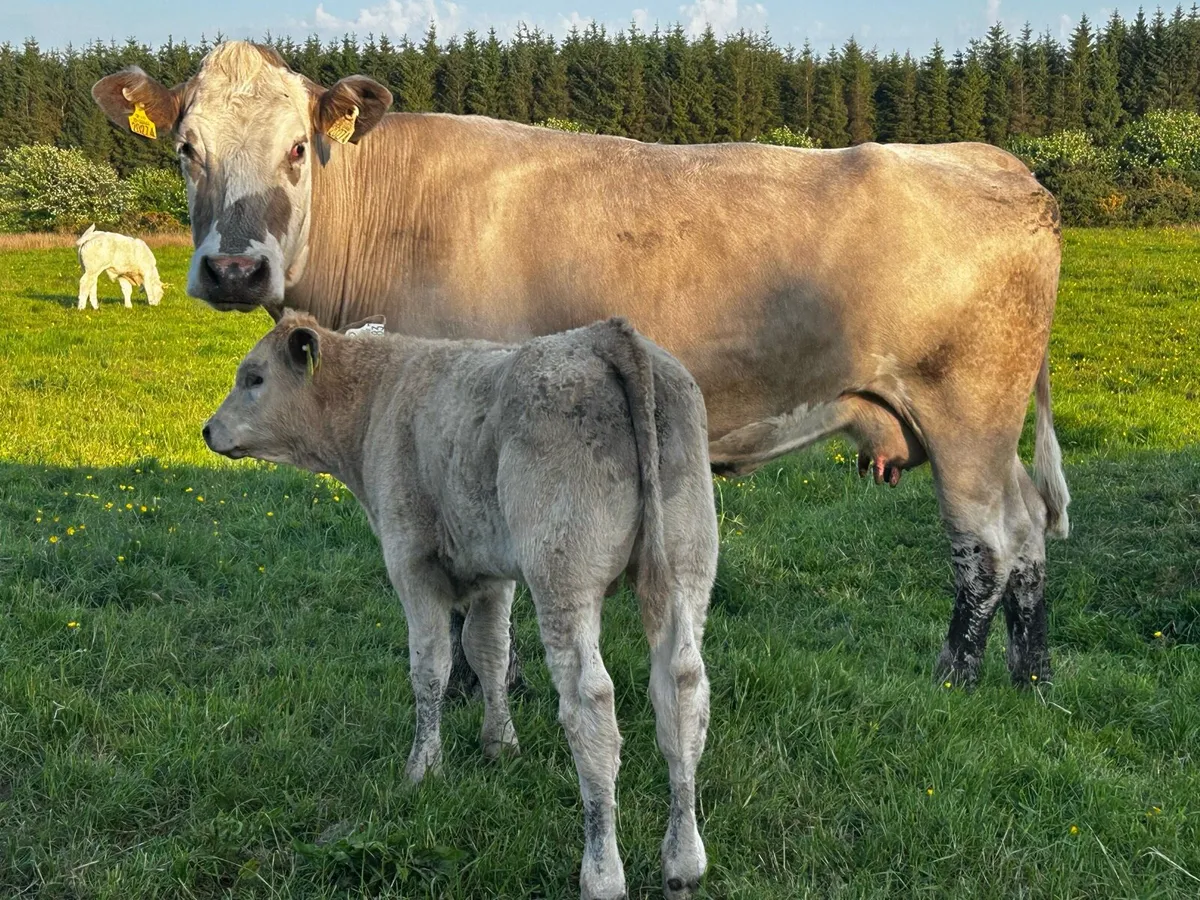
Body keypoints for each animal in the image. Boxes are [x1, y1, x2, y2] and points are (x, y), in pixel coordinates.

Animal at [94, 41, 1071, 691]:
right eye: (186, 149)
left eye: (298, 147)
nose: (233, 268)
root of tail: (1002, 166)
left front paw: (485, 686)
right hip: (984, 424)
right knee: (1026, 530)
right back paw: (1029, 675)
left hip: (967, 410)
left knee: (989, 541)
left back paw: (959, 677)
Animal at [203, 313, 718, 900]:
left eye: (255, 377)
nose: (208, 430)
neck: (379, 397)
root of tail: (605, 335)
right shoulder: (492, 571)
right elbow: (488, 651)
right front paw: (500, 743)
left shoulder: (412, 561)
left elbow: (431, 668)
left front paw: (423, 769)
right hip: (684, 565)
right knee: (682, 690)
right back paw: (684, 861)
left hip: (564, 575)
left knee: (590, 705)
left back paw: (602, 872)